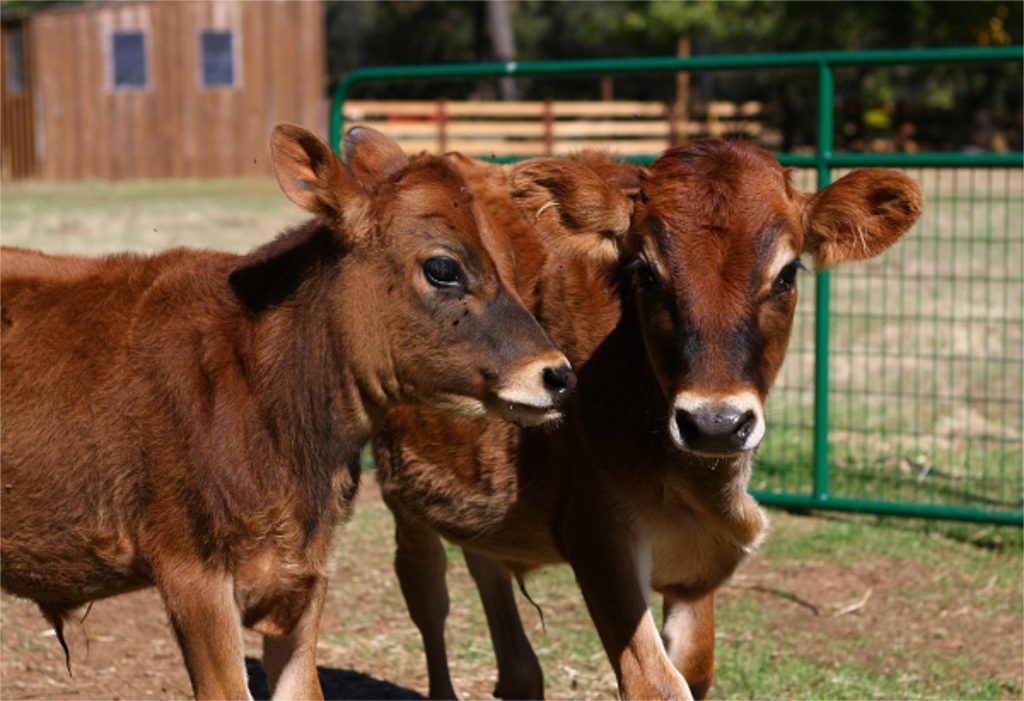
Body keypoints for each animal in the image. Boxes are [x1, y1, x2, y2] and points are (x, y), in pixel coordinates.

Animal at [373, 139, 923, 700]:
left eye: (788, 273)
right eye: (645, 273)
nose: (717, 423)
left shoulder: (699, 557)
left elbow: (695, 666)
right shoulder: (596, 530)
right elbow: (655, 681)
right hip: (398, 488)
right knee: (427, 594)